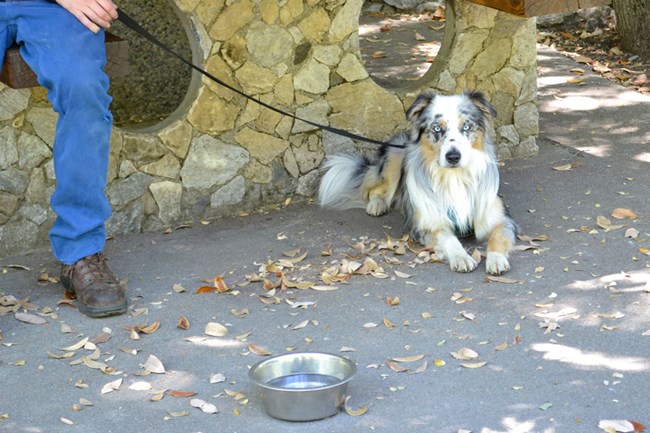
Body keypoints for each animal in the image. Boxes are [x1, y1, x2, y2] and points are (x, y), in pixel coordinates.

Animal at [318, 89, 516, 276]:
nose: (453, 157)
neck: (455, 177)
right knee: (375, 190)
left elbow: (498, 238)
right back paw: (376, 205)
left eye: (466, 126)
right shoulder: (428, 225)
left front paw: (496, 260)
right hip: (394, 159)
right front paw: (461, 258)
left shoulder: (501, 219)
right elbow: (449, 239)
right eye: (437, 128)